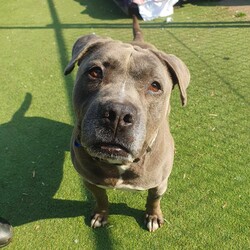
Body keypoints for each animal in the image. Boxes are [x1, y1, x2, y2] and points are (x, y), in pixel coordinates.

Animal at [64, 15, 189, 231]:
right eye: (95, 72)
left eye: (155, 86)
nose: (118, 114)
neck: (119, 163)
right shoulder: (89, 181)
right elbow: (101, 197)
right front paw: (101, 214)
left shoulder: (159, 184)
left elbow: (154, 199)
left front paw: (153, 215)